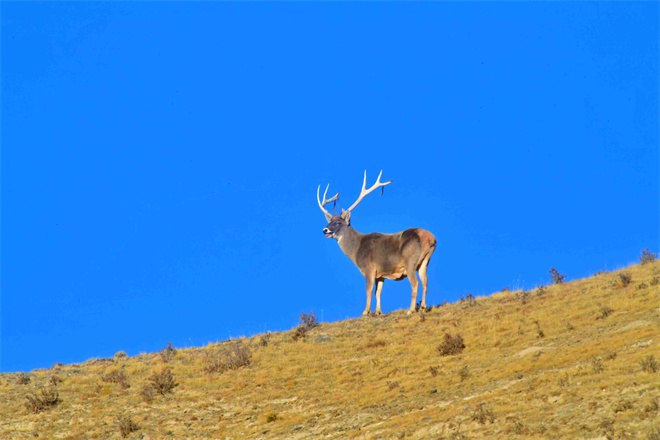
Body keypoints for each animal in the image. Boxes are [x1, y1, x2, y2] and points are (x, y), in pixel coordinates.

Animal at [318, 171, 436, 316]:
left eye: (339, 222)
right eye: (329, 221)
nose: (325, 230)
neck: (356, 249)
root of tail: (430, 238)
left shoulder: (369, 268)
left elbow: (368, 290)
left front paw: (365, 312)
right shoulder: (381, 273)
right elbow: (378, 292)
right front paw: (378, 311)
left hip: (410, 261)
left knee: (415, 283)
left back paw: (411, 309)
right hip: (425, 261)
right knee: (425, 281)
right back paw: (423, 306)